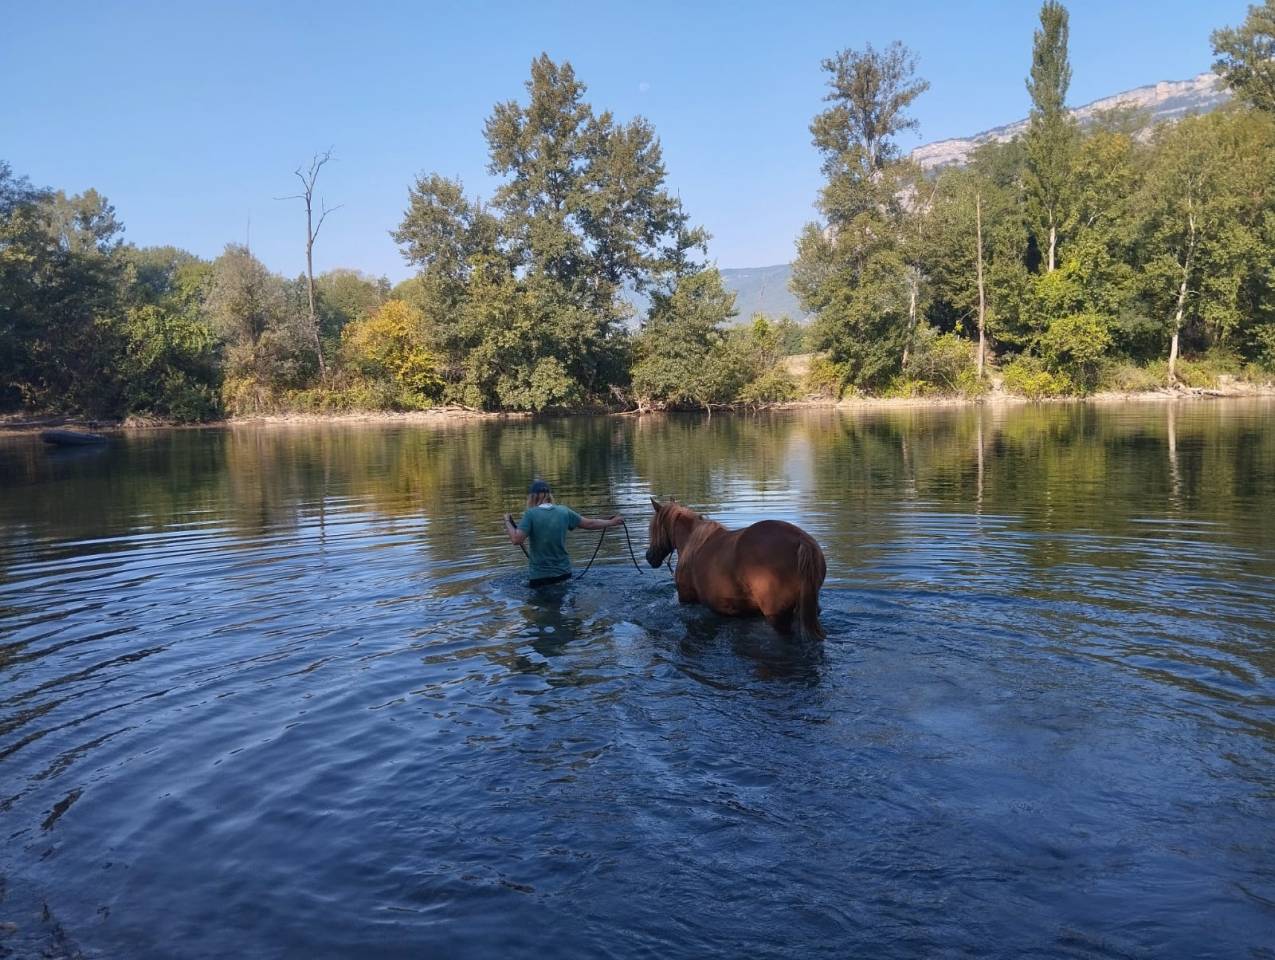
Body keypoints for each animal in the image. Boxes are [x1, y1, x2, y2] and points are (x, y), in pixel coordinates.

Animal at [645, 498, 827, 639]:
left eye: (653, 529)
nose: (649, 557)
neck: (693, 542)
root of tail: (801, 540)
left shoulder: (686, 599)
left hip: (779, 617)